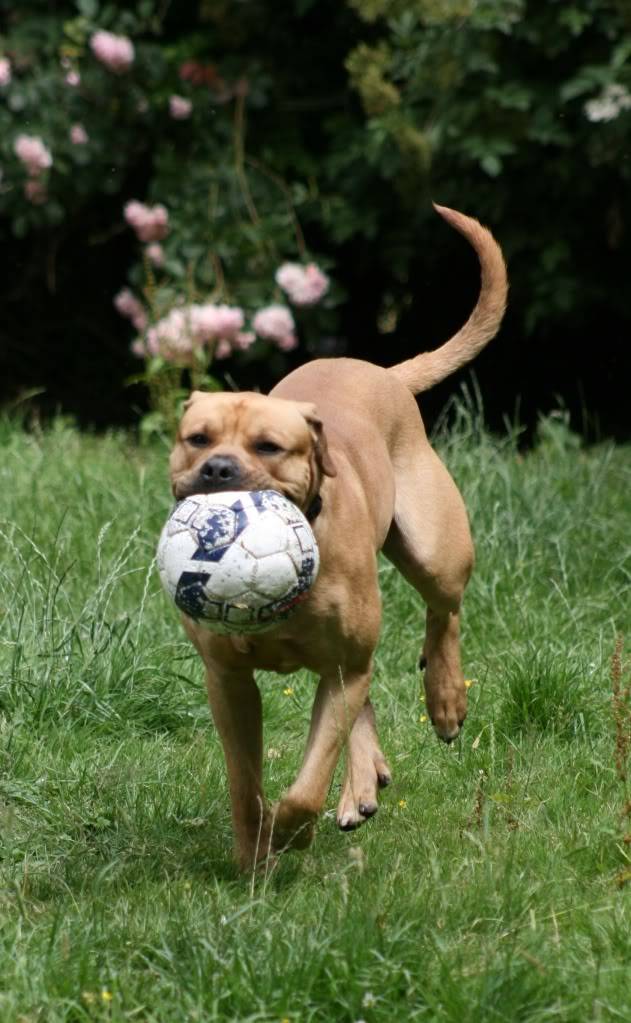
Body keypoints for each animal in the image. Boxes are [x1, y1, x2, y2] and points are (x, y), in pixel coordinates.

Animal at [167, 203, 507, 867]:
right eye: (198, 438)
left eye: (269, 447)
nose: (218, 470)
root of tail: (383, 373)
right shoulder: (230, 682)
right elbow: (244, 782)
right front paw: (252, 855)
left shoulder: (342, 667)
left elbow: (306, 785)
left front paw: (291, 834)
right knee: (365, 696)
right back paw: (363, 783)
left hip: (433, 550)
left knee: (444, 611)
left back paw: (445, 697)